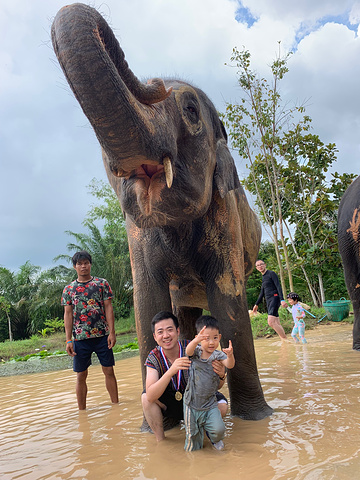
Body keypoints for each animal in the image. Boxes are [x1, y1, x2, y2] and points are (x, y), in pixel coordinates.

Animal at [52, 2, 272, 420]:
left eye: (190, 110)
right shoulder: (135, 230)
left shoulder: (224, 213)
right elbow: (147, 302)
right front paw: (152, 426)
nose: (154, 80)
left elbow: (228, 294)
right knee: (183, 317)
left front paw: (258, 420)